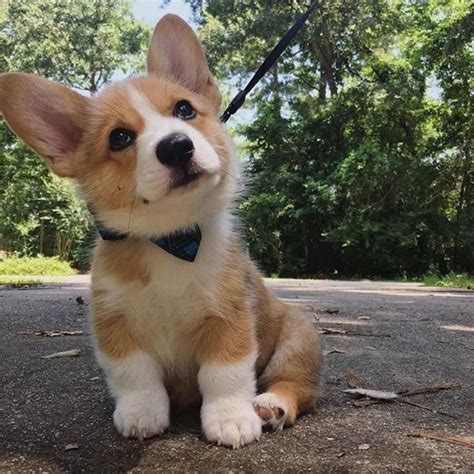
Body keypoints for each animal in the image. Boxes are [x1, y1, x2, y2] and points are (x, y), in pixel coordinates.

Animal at [0, 12, 322, 446]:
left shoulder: (229, 320)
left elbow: (225, 375)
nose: (176, 146)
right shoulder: (115, 324)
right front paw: (140, 414)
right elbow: (135, 376)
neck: (170, 239)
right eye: (119, 137)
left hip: (299, 337)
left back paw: (272, 404)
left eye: (184, 109)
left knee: (297, 385)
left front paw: (230, 419)